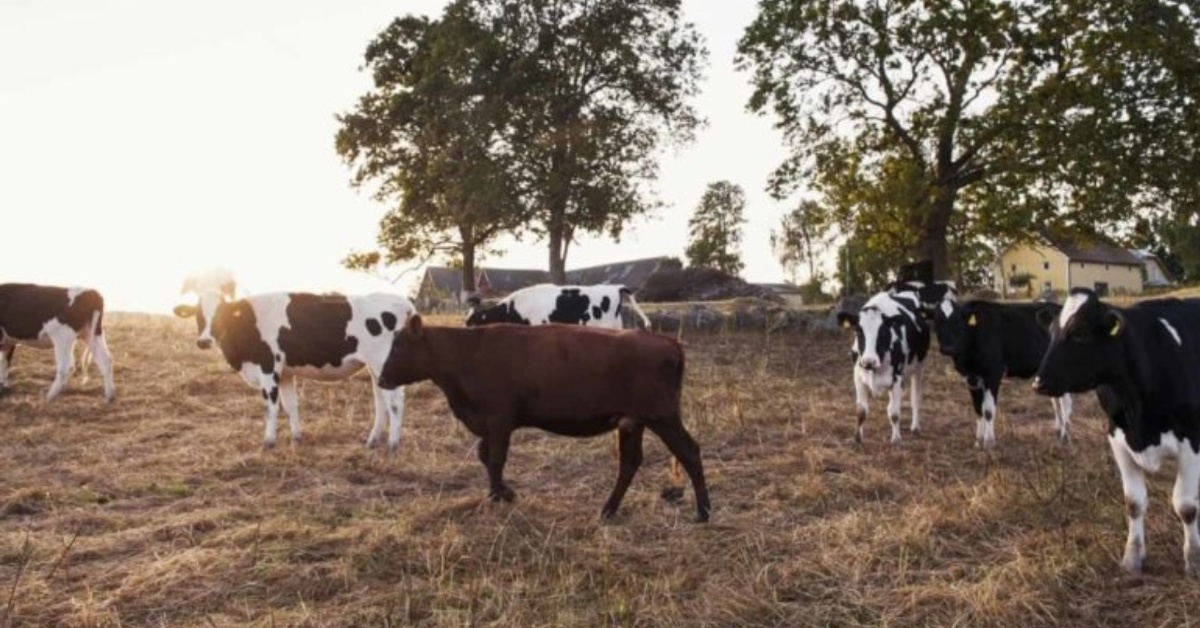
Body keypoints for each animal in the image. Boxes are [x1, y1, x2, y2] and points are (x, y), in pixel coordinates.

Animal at [172, 270, 416, 451]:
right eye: (198, 314)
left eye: (221, 314)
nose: (204, 341)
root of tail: (402, 303)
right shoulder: (286, 373)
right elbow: (291, 405)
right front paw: (296, 438)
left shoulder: (269, 367)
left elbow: (270, 406)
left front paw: (268, 442)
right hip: (377, 369)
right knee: (381, 402)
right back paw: (373, 440)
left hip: (381, 363)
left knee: (395, 403)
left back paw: (393, 445)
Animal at [377, 315, 711, 522]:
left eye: (400, 345)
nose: (381, 379)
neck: (467, 353)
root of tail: (667, 341)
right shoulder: (490, 425)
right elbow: (485, 456)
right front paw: (506, 493)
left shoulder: (498, 421)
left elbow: (495, 459)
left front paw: (496, 496)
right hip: (633, 423)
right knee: (630, 463)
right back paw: (607, 511)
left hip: (662, 418)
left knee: (689, 452)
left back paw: (704, 511)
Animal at [836, 288, 930, 444]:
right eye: (858, 332)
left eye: (883, 332)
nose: (869, 361)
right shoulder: (858, 375)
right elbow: (861, 410)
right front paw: (857, 437)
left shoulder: (897, 379)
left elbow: (894, 412)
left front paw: (896, 439)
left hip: (919, 366)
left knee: (916, 398)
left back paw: (915, 427)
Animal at [933, 298, 1072, 448]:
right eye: (937, 321)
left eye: (958, 320)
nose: (948, 348)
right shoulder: (971, 378)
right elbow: (978, 409)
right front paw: (978, 441)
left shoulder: (993, 374)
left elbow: (988, 410)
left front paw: (989, 442)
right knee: (1056, 401)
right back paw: (1059, 430)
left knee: (1065, 403)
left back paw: (1065, 435)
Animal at [1032, 288, 1200, 576]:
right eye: (1052, 332)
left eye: (1081, 333)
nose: (1038, 383)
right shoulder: (1117, 438)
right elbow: (1133, 502)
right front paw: (1132, 558)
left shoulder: (1192, 440)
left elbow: (1186, 505)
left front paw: (1193, 560)